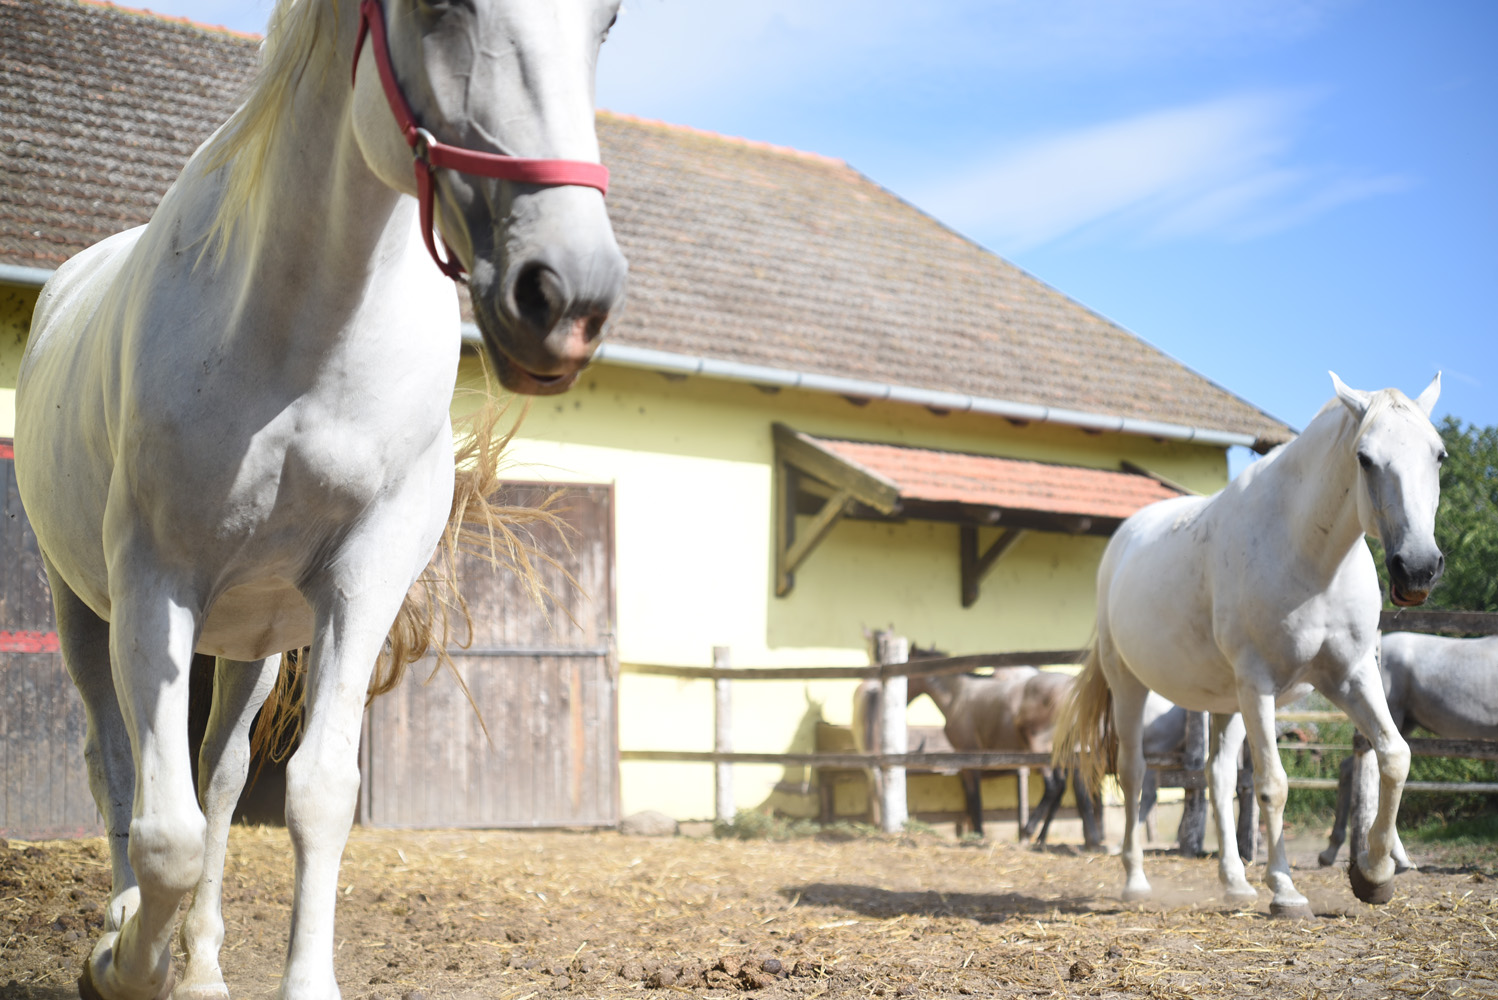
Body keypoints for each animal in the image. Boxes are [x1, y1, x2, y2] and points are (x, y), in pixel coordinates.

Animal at [13, 1, 626, 998]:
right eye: (437, 10)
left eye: (605, 23)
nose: (567, 293)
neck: (304, 329)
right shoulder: (154, 581)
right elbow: (166, 832)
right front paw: (123, 963)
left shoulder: (362, 578)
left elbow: (315, 794)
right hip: (82, 609)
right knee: (114, 766)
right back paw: (118, 926)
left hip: (250, 644)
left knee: (221, 778)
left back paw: (203, 968)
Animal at [1054, 373, 1445, 915]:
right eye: (1365, 458)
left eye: (1439, 455)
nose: (1418, 569)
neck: (1311, 558)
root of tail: (1123, 540)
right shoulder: (1260, 685)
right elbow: (1272, 785)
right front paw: (1285, 891)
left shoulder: (1350, 676)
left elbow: (1394, 756)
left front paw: (1374, 874)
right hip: (1133, 687)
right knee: (1133, 774)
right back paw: (1135, 881)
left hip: (1228, 702)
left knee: (1216, 778)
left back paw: (1235, 881)